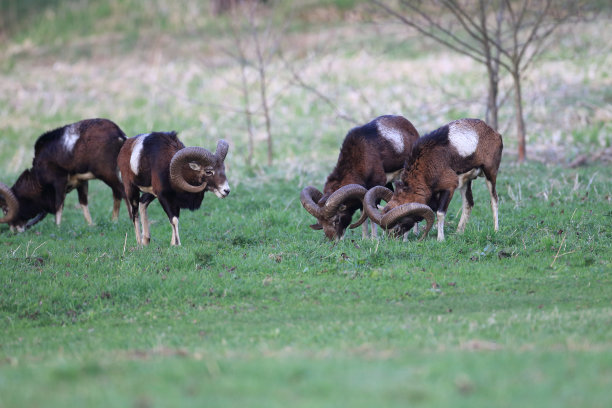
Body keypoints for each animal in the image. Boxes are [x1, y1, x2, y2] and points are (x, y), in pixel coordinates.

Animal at [364, 118, 502, 241]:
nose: (392, 237)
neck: (428, 164)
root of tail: (495, 134)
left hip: (490, 174)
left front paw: (440, 239)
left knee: (494, 200)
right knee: (468, 204)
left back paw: (496, 230)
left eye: (400, 222)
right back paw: (459, 233)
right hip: (466, 183)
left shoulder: (449, 188)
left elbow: (440, 213)